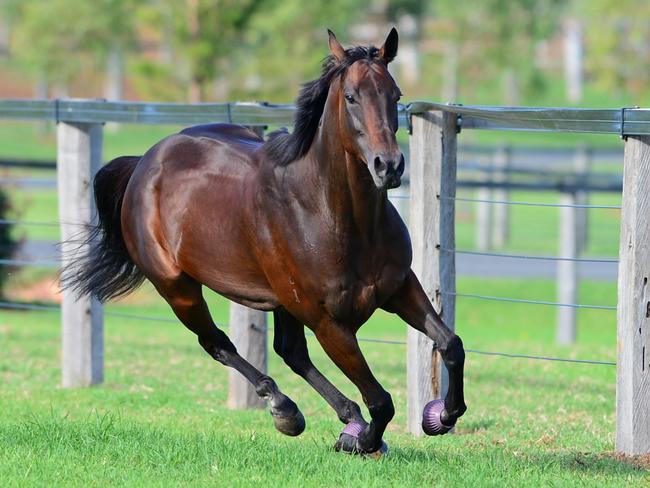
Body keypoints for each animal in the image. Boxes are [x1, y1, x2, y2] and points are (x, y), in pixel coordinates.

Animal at [63, 28, 464, 456]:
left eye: (396, 94)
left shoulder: (400, 287)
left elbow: (450, 344)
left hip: (282, 300)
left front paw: (442, 416)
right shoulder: (329, 322)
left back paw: (343, 419)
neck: (335, 216)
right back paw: (286, 410)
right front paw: (366, 441)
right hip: (177, 288)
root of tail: (144, 162)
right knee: (218, 343)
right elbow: (381, 400)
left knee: (290, 352)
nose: (387, 166)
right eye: (351, 96)